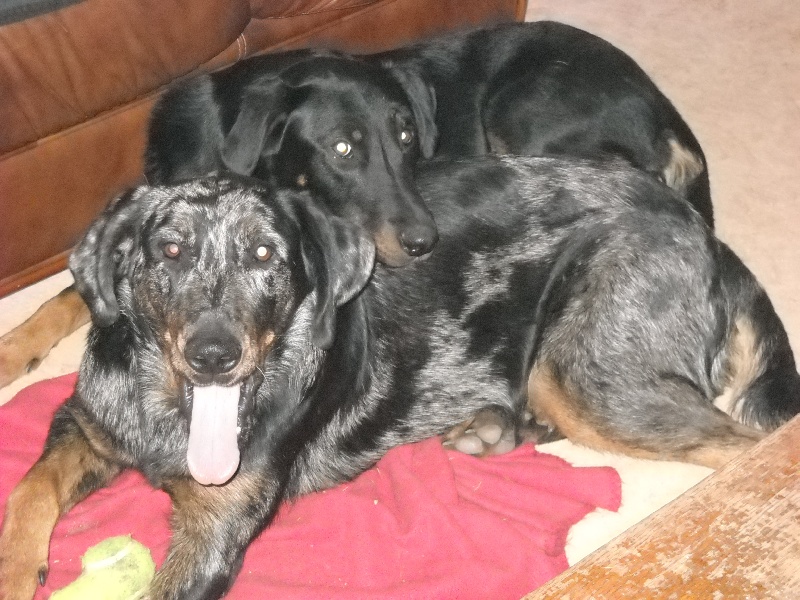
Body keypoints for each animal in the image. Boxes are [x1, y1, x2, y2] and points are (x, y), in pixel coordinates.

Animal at [0, 20, 711, 391]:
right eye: (342, 149)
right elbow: (64, 294)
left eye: (407, 138)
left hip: (528, 112)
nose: (424, 241)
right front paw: (15, 349)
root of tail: (671, 121)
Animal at [1, 156, 797, 599]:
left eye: (265, 256)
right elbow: (30, 491)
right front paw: (16, 570)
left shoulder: (215, 531)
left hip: (587, 375)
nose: (213, 354)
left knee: (742, 448)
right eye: (168, 250)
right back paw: (492, 428)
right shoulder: (85, 422)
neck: (170, 406)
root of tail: (702, 231)